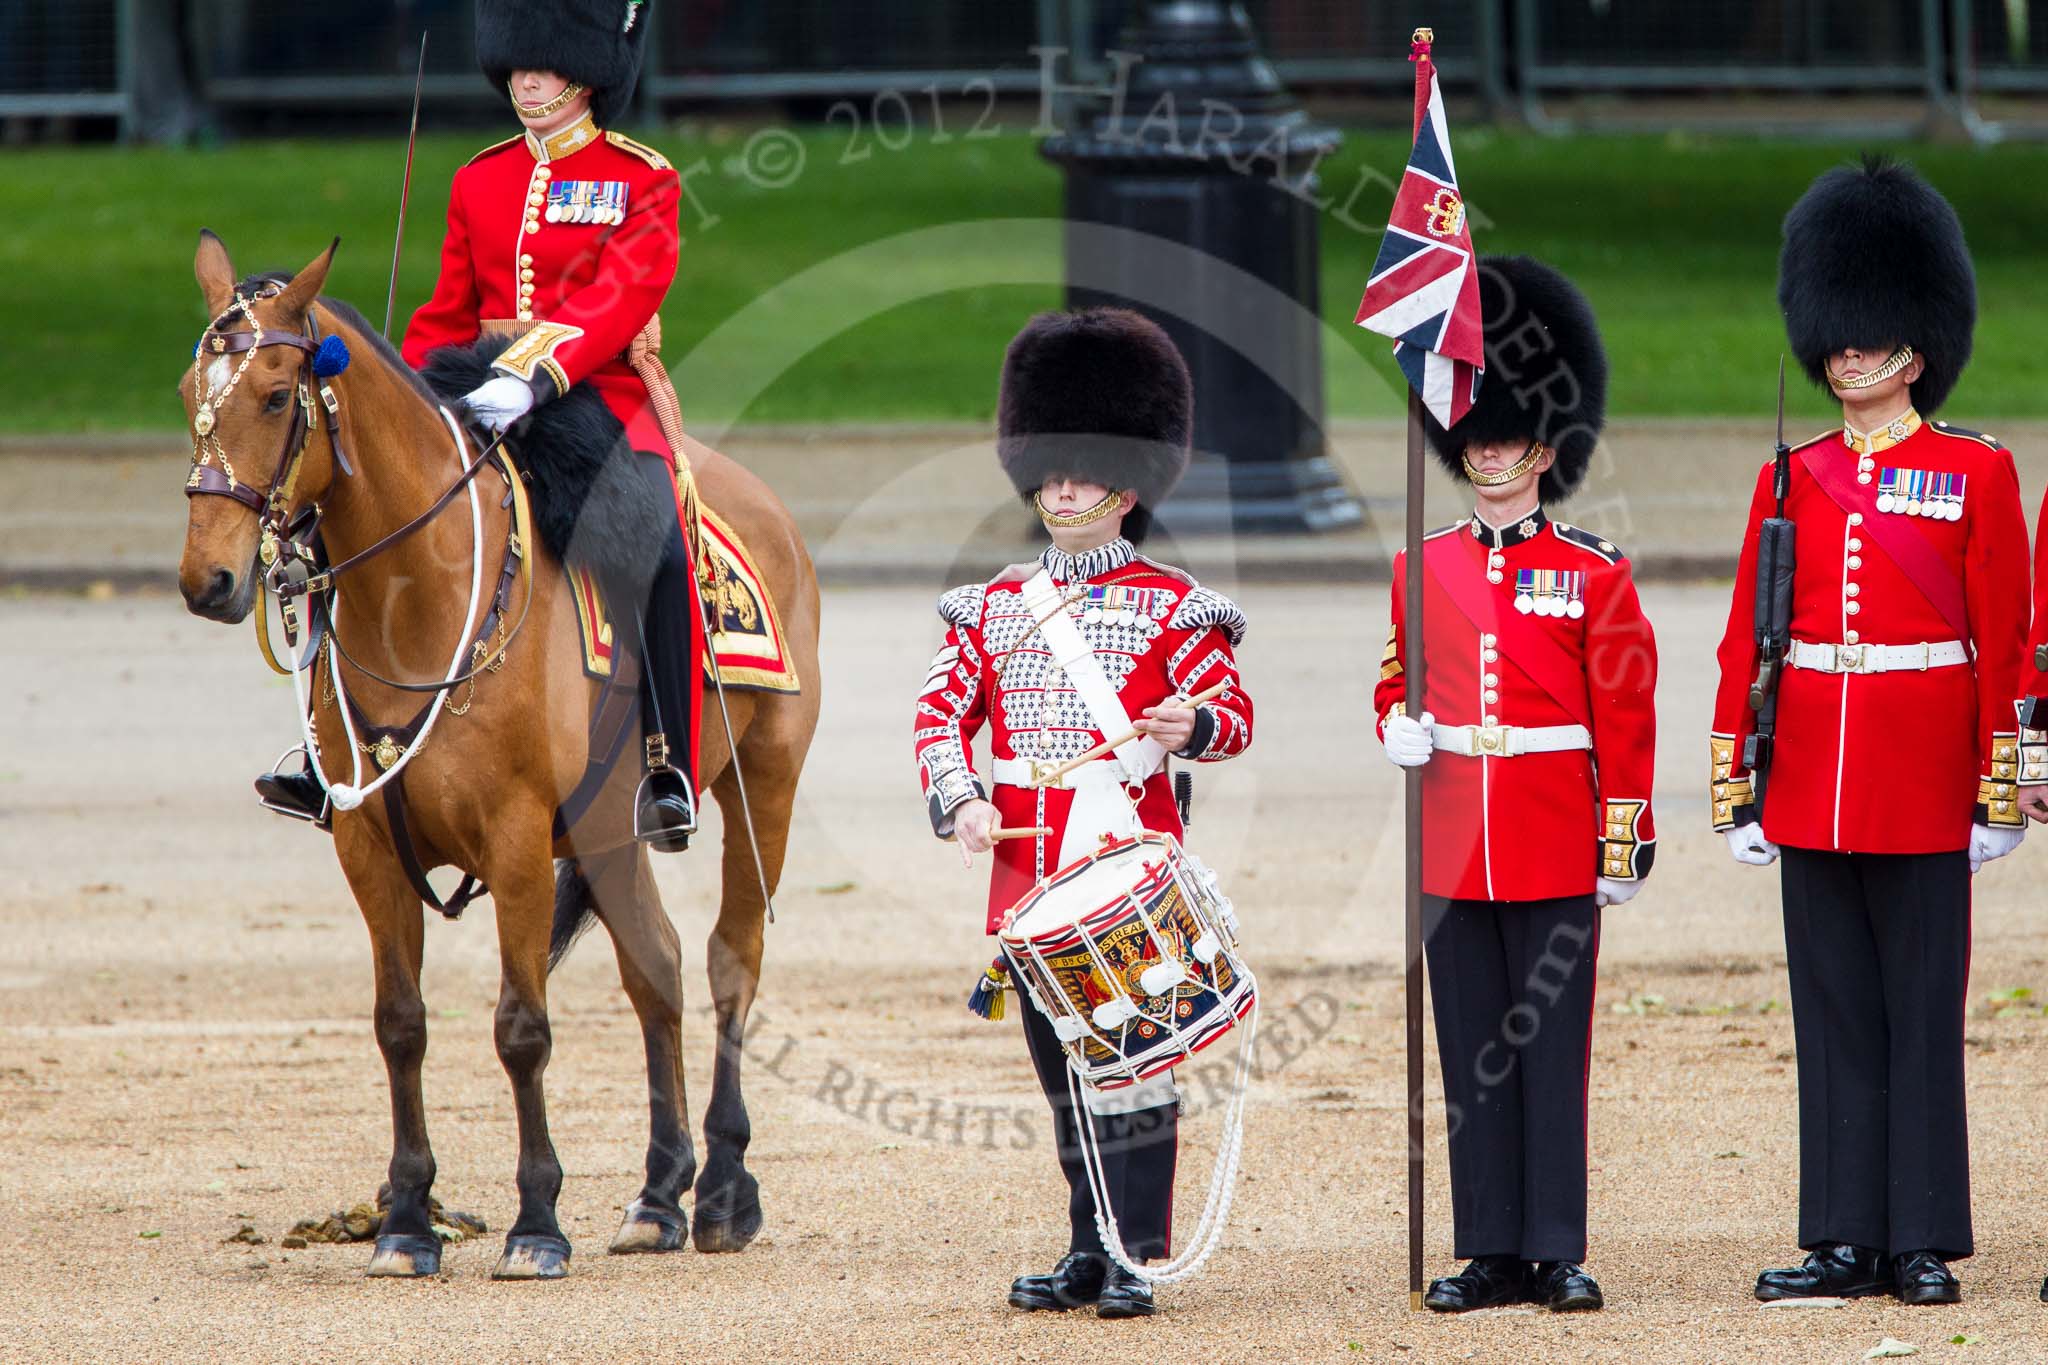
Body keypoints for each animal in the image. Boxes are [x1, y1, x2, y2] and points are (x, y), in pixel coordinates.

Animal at [174, 232, 815, 1285]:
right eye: (189, 386)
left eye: (273, 396)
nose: (209, 581)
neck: (414, 601)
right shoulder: (367, 845)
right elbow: (400, 1024)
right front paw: (404, 1219)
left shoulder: (516, 838)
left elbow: (522, 1028)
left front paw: (536, 1221)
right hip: (608, 830)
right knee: (659, 965)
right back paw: (658, 1195)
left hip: (762, 782)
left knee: (732, 959)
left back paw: (723, 1188)